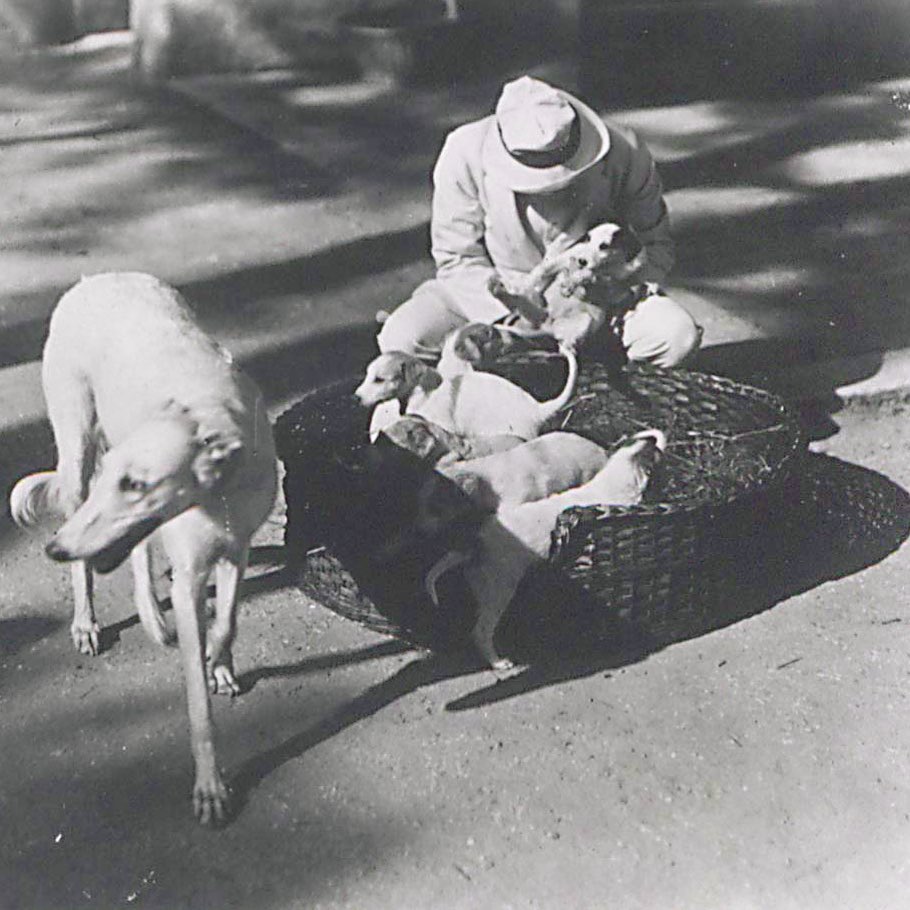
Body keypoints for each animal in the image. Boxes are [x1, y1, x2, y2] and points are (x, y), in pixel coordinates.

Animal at [8, 272, 278, 828]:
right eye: (121, 480)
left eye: (136, 483)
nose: (53, 551)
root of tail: (96, 278)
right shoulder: (191, 571)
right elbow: (197, 699)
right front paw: (210, 788)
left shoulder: (235, 547)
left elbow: (227, 620)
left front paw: (220, 662)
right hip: (77, 450)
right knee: (89, 537)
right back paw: (89, 623)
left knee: (137, 555)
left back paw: (151, 614)